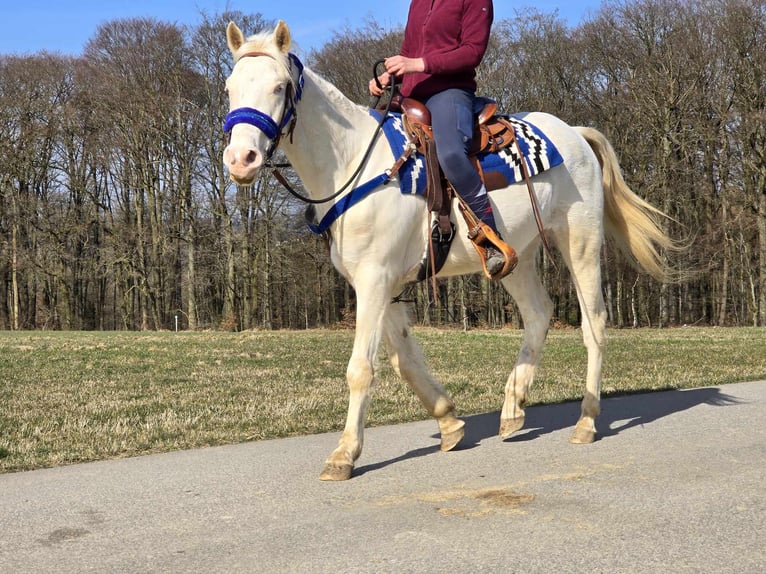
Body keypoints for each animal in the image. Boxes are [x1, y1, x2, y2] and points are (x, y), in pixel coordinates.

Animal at [224, 21, 680, 482]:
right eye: (229, 88)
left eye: (280, 87)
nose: (240, 159)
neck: (355, 165)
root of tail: (575, 134)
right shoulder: (385, 286)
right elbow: (404, 361)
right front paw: (448, 421)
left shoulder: (374, 281)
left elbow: (361, 369)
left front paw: (344, 453)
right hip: (515, 258)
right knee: (538, 313)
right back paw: (513, 407)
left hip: (581, 244)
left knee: (594, 324)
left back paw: (586, 419)